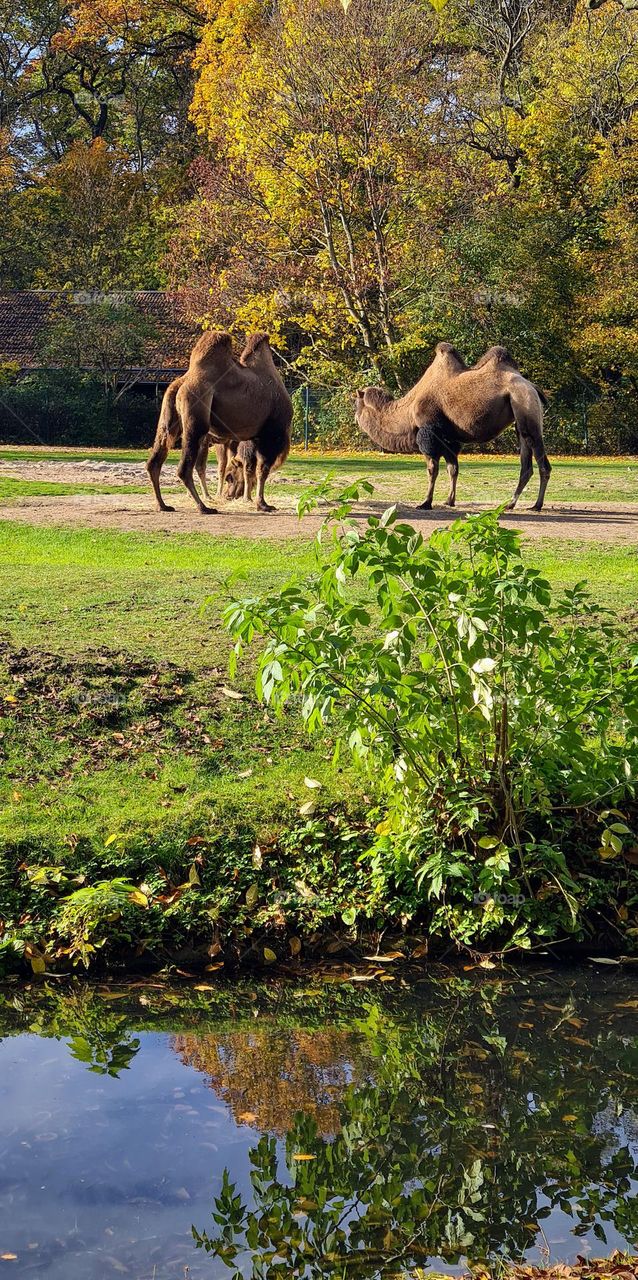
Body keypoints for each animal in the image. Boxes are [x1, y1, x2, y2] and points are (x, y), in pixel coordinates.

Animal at [146, 332, 291, 514]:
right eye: (230, 479)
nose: (230, 495)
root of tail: (182, 382)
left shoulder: (253, 438)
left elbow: (251, 468)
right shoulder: (270, 435)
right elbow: (261, 470)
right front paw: (263, 504)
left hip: (169, 413)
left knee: (155, 460)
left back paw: (163, 505)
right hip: (197, 410)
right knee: (184, 468)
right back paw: (203, 507)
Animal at [355, 343, 551, 511]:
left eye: (355, 403)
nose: (355, 417)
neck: (408, 412)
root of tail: (532, 386)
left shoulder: (429, 434)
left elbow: (432, 470)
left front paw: (426, 502)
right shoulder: (448, 438)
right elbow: (453, 469)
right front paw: (449, 500)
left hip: (524, 402)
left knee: (542, 462)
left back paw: (536, 505)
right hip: (520, 415)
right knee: (526, 464)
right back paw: (511, 504)